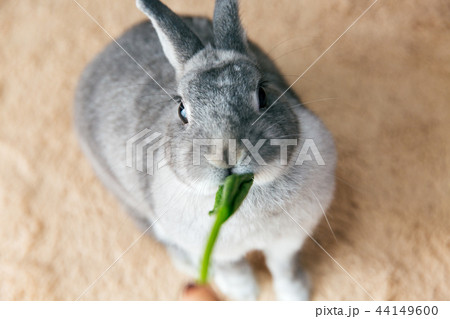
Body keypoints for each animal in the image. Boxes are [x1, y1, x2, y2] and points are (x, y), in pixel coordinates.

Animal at [74, 0, 336, 302]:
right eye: (182, 110)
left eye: (262, 94)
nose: (228, 154)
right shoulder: (216, 251)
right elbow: (234, 269)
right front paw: (245, 294)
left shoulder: (287, 242)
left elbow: (284, 267)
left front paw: (297, 296)